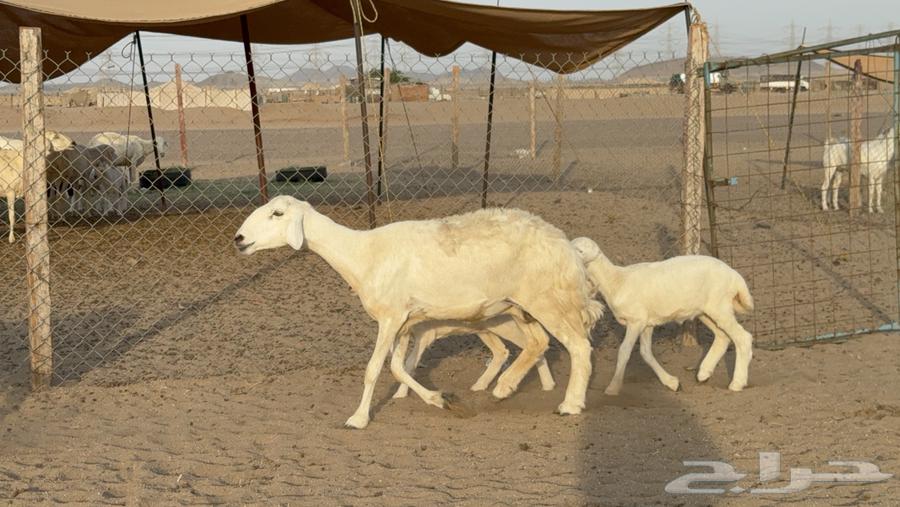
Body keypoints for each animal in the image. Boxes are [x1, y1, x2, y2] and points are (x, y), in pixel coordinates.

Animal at [234, 196, 600, 428]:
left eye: (277, 214)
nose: (238, 238)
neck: (361, 254)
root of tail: (564, 244)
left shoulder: (390, 317)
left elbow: (374, 369)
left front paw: (358, 419)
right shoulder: (406, 322)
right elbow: (399, 367)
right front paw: (440, 400)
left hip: (546, 300)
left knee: (578, 347)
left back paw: (569, 404)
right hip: (519, 307)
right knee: (538, 343)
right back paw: (504, 387)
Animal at [571, 237, 754, 395]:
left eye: (580, 250)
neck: (616, 281)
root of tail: (735, 276)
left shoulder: (636, 321)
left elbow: (624, 351)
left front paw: (612, 388)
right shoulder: (647, 323)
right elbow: (645, 352)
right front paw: (672, 383)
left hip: (720, 306)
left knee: (743, 337)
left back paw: (737, 383)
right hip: (705, 311)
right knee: (723, 337)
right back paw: (703, 373)